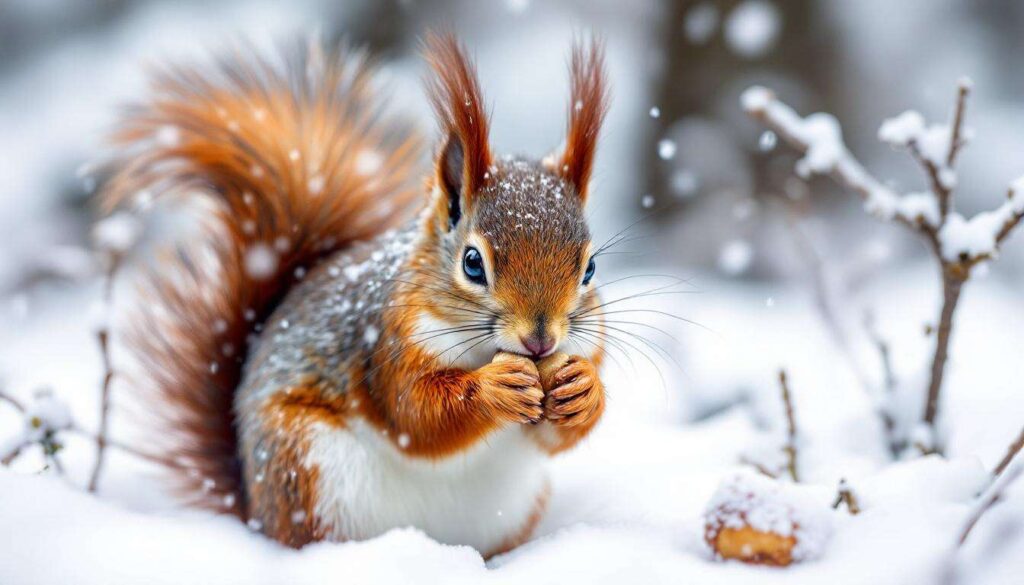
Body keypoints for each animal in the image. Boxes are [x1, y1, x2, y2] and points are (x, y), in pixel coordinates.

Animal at [101, 33, 609, 557]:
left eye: (590, 268)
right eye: (472, 263)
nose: (541, 340)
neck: (485, 348)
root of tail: (256, 512)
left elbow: (559, 436)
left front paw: (584, 390)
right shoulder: (387, 345)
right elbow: (415, 414)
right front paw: (494, 387)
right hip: (305, 464)